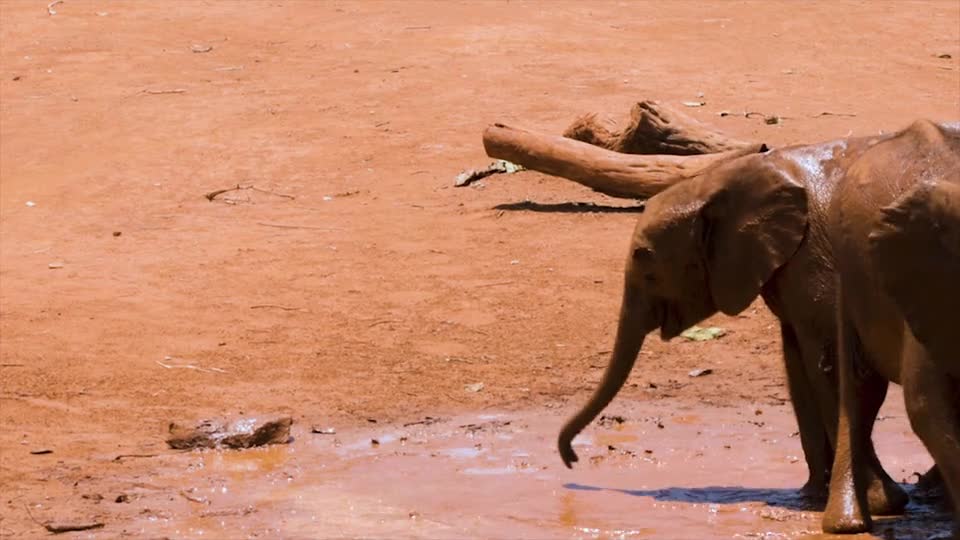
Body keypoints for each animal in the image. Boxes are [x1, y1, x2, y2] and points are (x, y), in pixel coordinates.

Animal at [556, 131, 928, 516]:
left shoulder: (820, 265)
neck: (724, 181)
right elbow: (799, 369)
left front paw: (879, 503)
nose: (571, 460)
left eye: (646, 264)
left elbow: (840, 370)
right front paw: (809, 496)